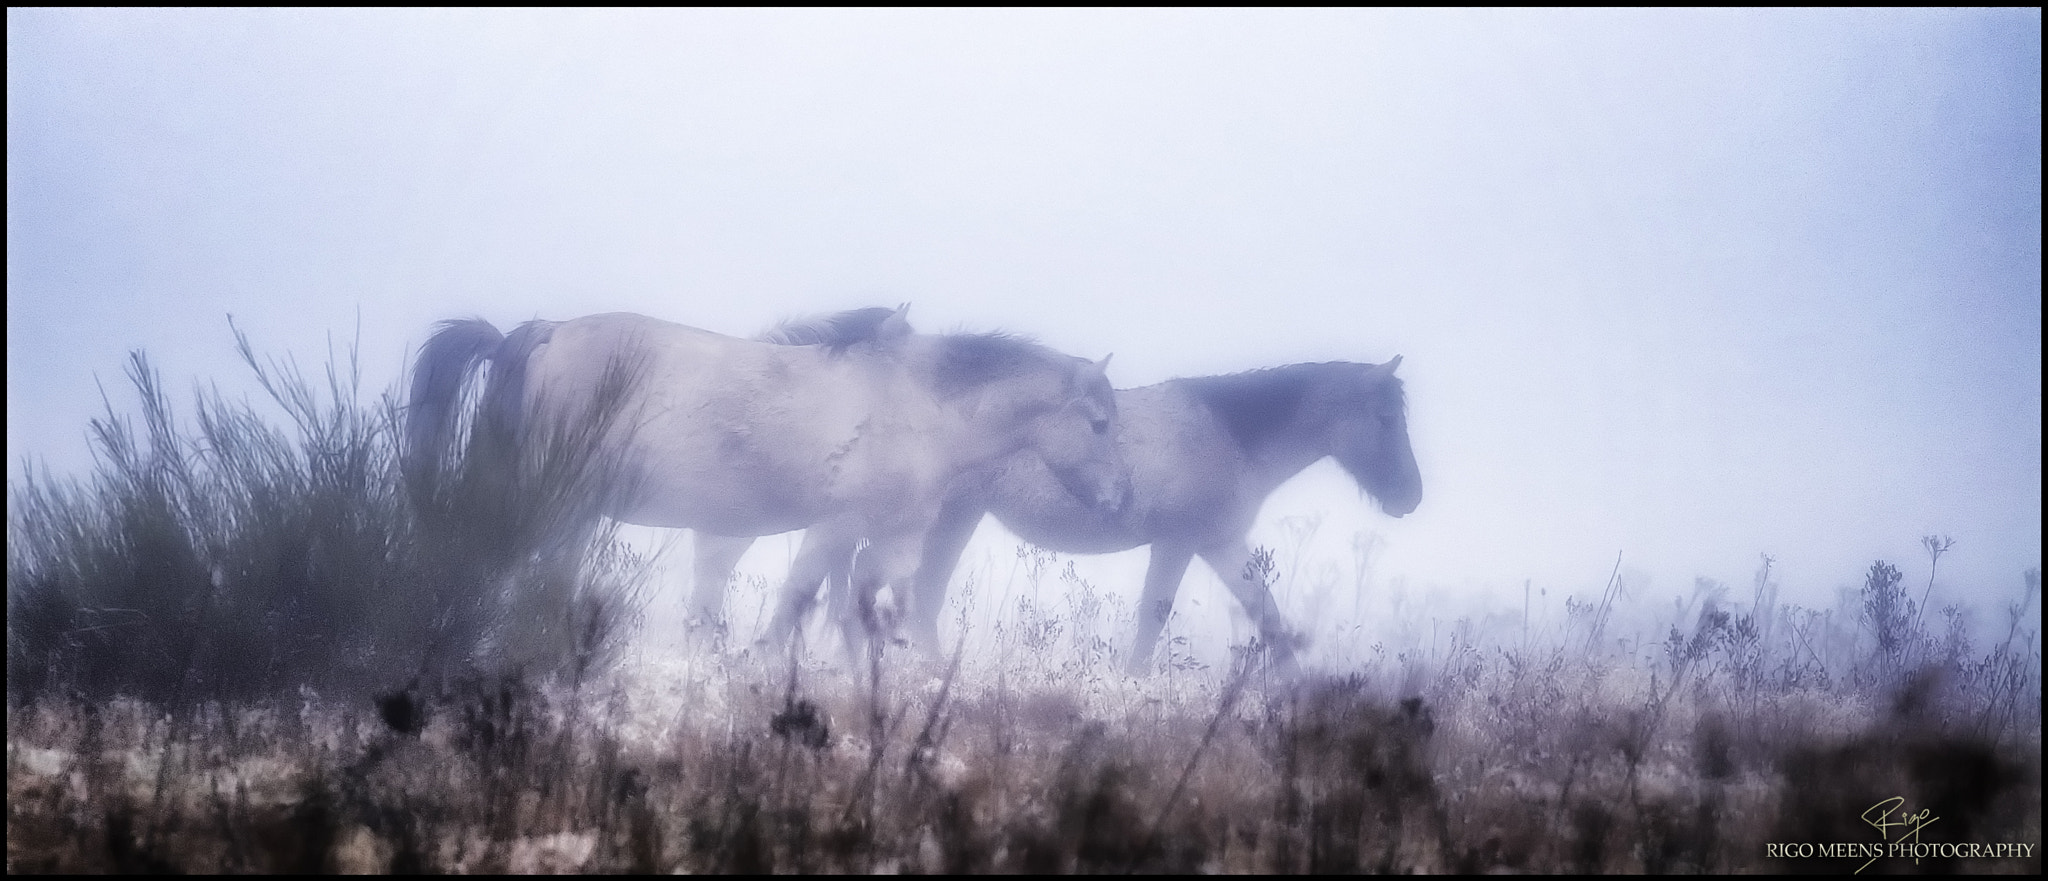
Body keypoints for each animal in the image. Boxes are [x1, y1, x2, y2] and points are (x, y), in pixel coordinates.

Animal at [405, 305, 1130, 655]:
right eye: (1099, 423)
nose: (1119, 499)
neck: (920, 406)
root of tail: (542, 335)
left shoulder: (889, 538)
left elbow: (877, 607)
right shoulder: (837, 525)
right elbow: (798, 601)